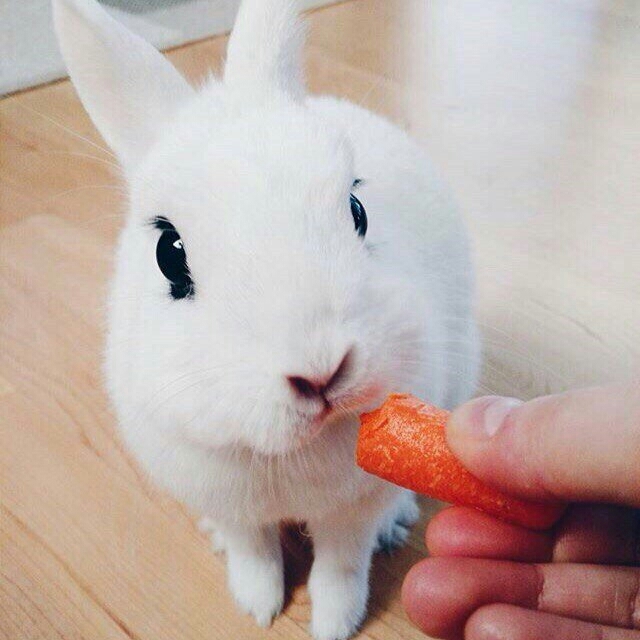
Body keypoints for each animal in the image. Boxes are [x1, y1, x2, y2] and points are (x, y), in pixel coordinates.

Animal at [52, 0, 480, 638]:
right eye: (168, 254)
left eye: (357, 209)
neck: (289, 455)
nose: (322, 370)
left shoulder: (352, 510)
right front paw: (258, 605)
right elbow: (253, 550)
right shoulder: (229, 503)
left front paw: (333, 625)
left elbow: (341, 568)